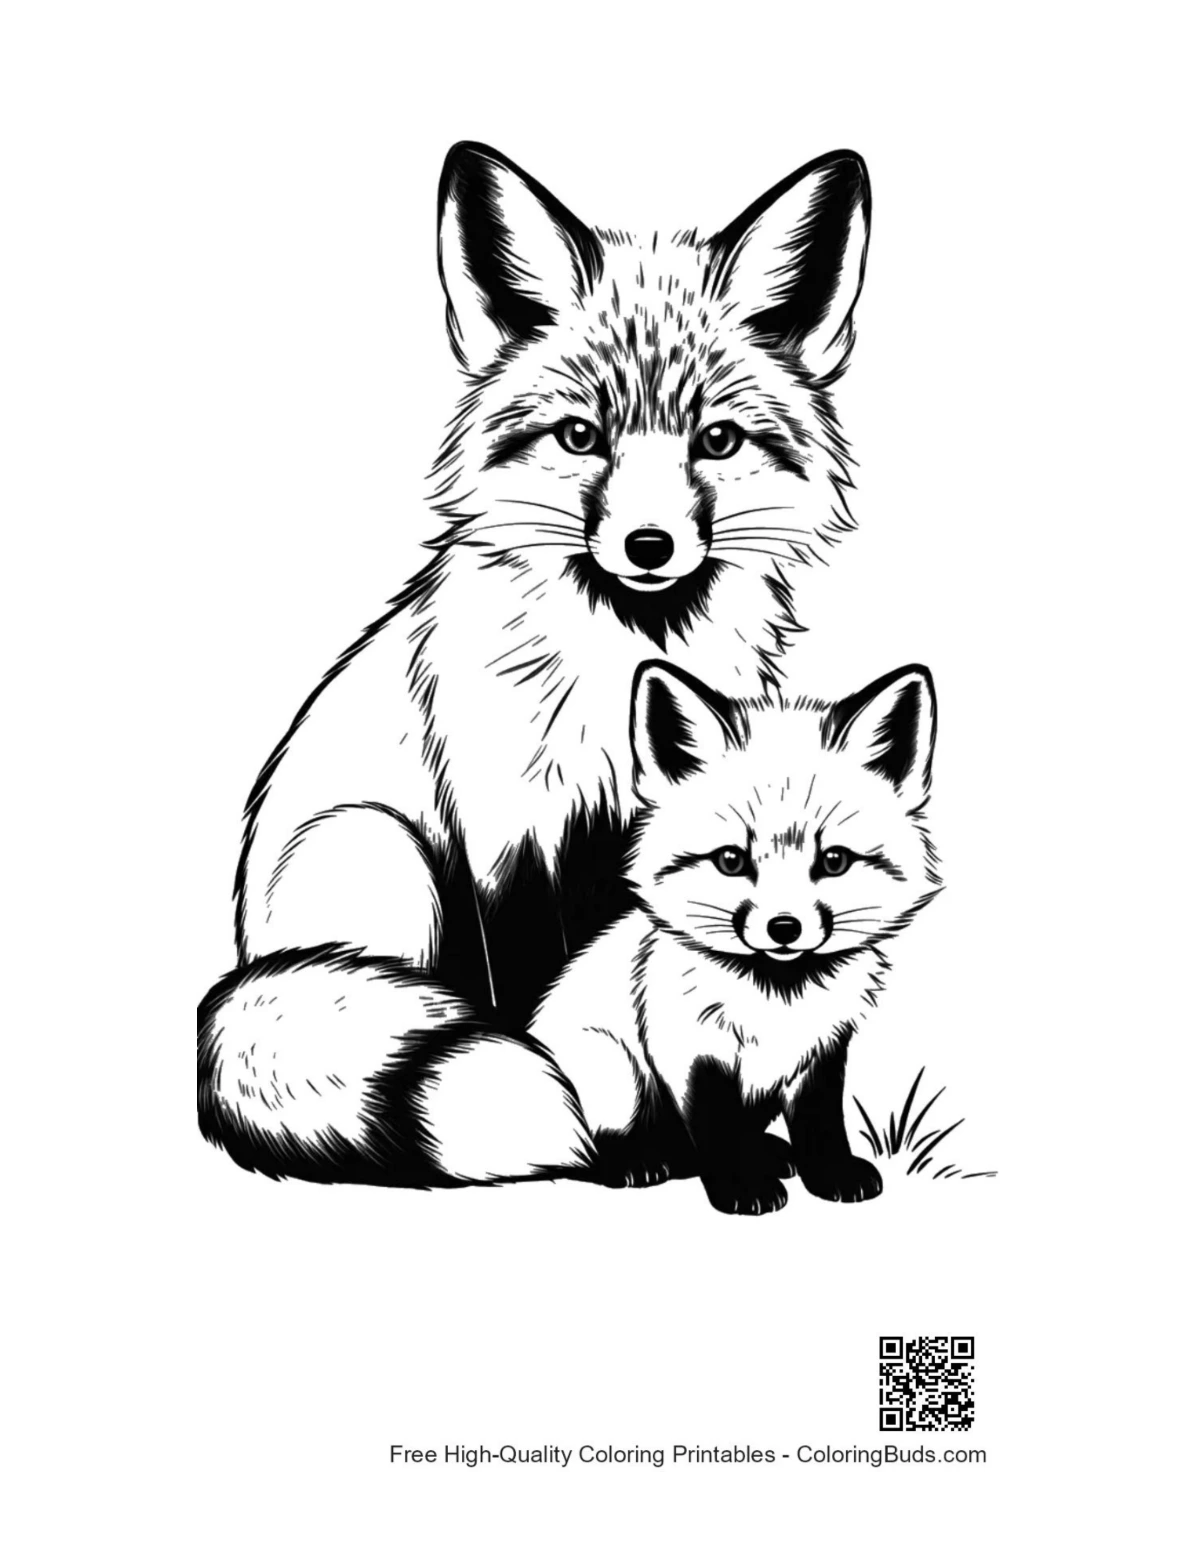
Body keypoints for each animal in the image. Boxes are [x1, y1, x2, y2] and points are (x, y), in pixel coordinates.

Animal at [198, 141, 872, 1184]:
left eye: (716, 440)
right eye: (580, 436)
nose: (647, 546)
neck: (622, 670)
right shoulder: (506, 840)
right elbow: (542, 998)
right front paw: (603, 1131)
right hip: (378, 852)